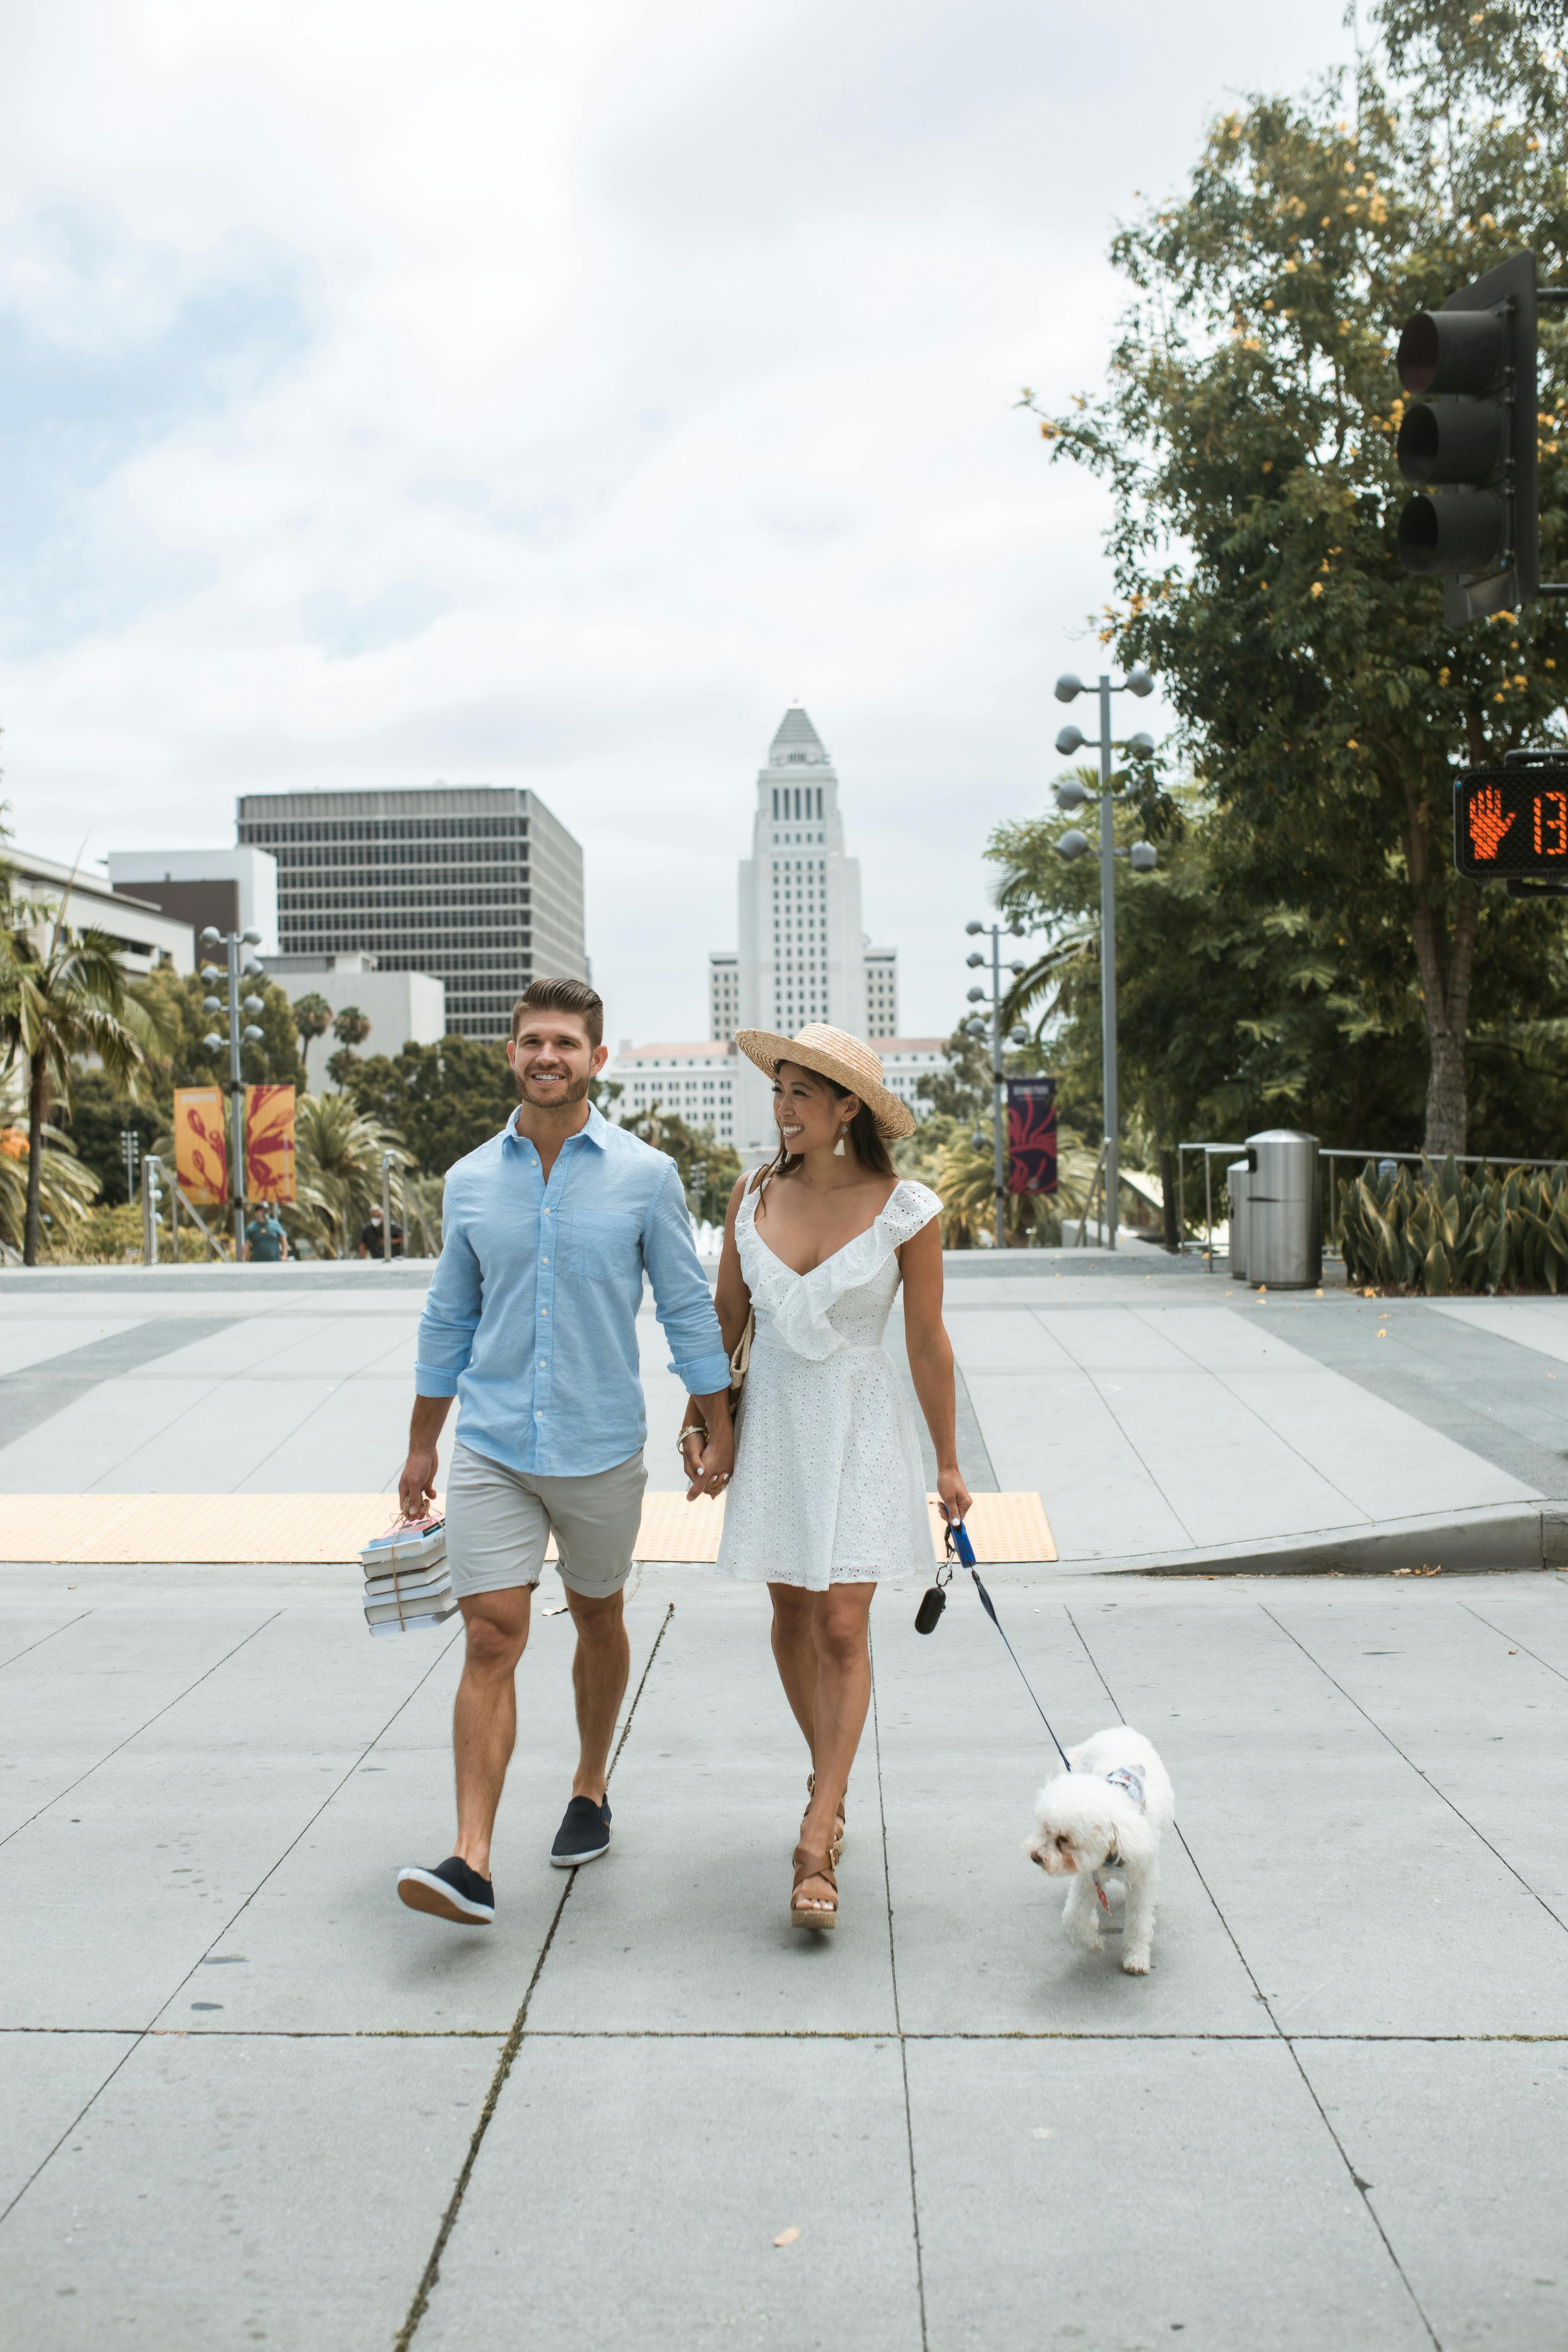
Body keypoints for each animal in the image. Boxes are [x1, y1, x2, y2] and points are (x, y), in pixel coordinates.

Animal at [1029, 1721, 1175, 1975]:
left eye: (1065, 1839)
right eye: (1046, 1829)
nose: (1035, 1857)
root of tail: (1117, 1729)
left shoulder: (1142, 1879)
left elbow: (1139, 1923)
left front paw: (1136, 1958)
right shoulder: (1089, 1877)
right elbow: (1074, 1916)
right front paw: (1093, 1942)